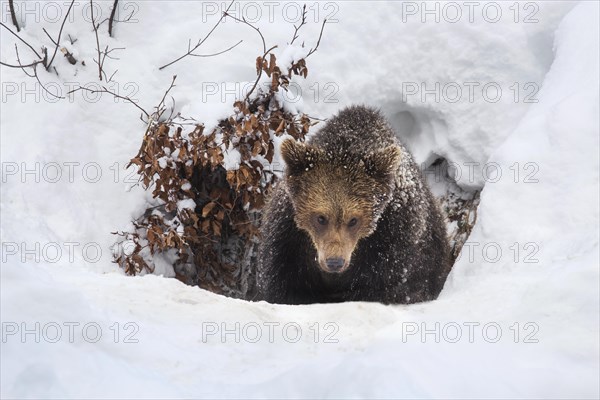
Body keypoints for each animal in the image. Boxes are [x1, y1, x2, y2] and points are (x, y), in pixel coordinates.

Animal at [256, 104, 450, 304]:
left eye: (353, 220)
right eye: (320, 218)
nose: (334, 262)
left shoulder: (395, 234)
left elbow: (385, 283)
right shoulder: (288, 235)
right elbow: (284, 281)